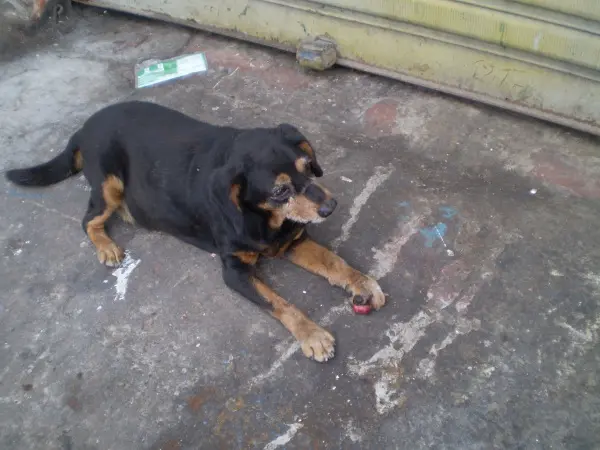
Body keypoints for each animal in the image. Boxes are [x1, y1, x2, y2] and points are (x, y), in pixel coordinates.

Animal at [5, 101, 386, 362]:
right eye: (279, 191)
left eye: (308, 167)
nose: (330, 207)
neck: (263, 218)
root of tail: (83, 127)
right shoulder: (235, 271)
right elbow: (280, 303)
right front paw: (312, 335)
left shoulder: (292, 240)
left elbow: (335, 262)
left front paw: (363, 283)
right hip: (108, 183)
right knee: (87, 219)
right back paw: (106, 246)